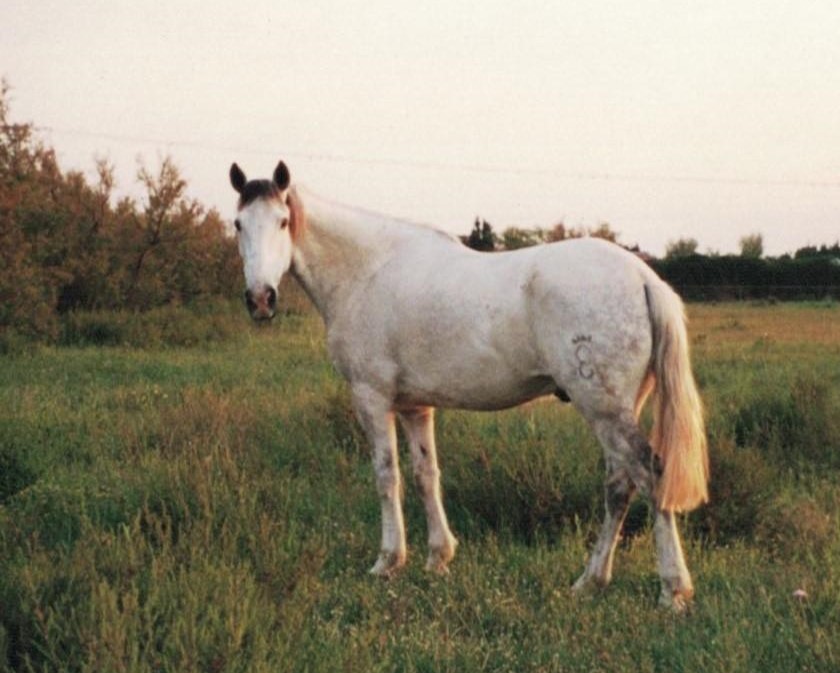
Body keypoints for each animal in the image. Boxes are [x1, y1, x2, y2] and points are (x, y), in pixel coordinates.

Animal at [228, 159, 708, 608]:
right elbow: (425, 474)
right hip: (616, 408)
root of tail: (643, 277)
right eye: (238, 224)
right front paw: (438, 557)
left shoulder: (371, 397)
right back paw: (590, 581)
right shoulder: (414, 406)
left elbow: (387, 475)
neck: (366, 271)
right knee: (619, 485)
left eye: (283, 222)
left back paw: (672, 590)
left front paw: (388, 561)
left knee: (648, 474)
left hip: (603, 408)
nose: (260, 299)